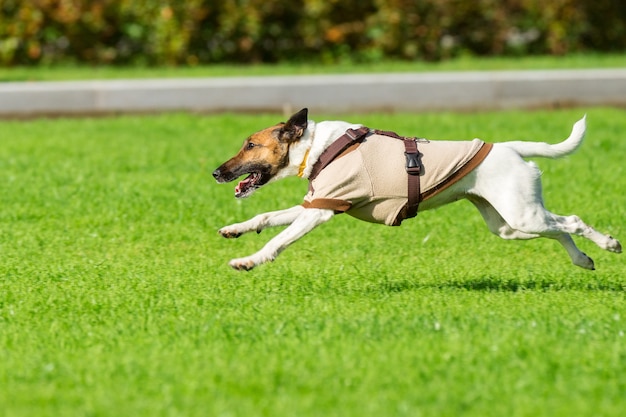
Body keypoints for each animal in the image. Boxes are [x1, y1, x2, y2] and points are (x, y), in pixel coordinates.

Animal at [213, 108, 620, 270]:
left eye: (250, 145)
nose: (217, 172)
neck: (318, 146)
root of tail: (508, 147)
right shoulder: (315, 203)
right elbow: (266, 217)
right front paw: (235, 229)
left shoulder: (321, 211)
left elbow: (276, 241)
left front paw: (248, 261)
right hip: (509, 224)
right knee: (560, 228)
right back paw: (583, 260)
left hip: (522, 215)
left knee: (573, 221)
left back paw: (608, 243)